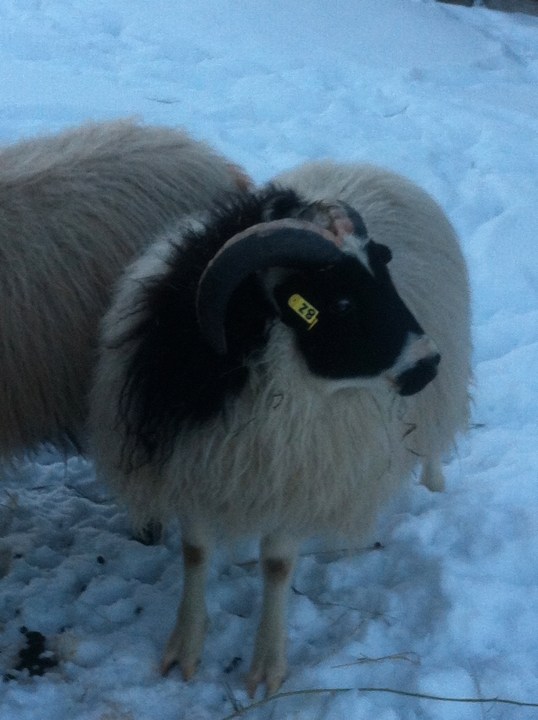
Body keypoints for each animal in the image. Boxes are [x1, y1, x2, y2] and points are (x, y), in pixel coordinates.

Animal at [89, 160, 471, 697]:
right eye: (342, 303)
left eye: (384, 274)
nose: (426, 364)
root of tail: (366, 165)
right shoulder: (192, 465)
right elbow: (195, 552)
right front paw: (185, 649)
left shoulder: (295, 475)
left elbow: (275, 564)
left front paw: (266, 668)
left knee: (433, 439)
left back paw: (434, 484)